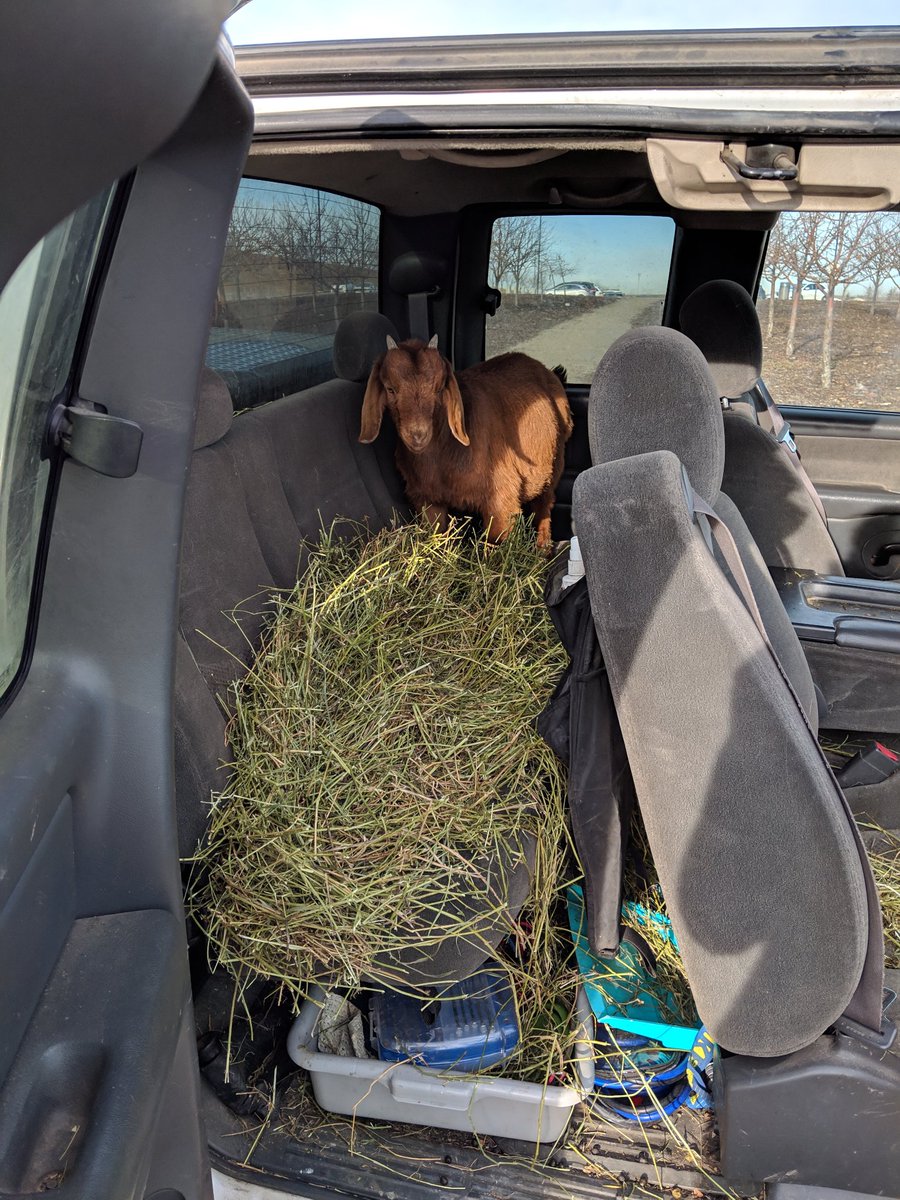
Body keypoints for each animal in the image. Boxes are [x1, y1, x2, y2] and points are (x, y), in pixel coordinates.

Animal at [359, 335, 572, 547]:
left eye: (439, 388)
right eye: (390, 389)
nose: (418, 435)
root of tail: (547, 371)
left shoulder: (501, 497)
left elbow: (496, 539)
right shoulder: (428, 498)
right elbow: (436, 532)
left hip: (555, 463)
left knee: (544, 504)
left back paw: (542, 547)